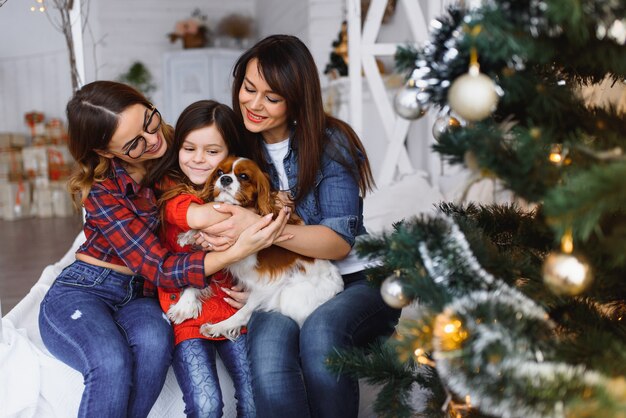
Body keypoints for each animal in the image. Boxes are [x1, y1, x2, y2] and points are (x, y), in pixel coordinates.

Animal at [173, 156, 344, 340]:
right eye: (219, 172)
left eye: (244, 176)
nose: (225, 179)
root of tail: (338, 284)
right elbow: (199, 274)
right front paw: (184, 305)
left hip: (284, 294)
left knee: (246, 313)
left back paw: (217, 327)